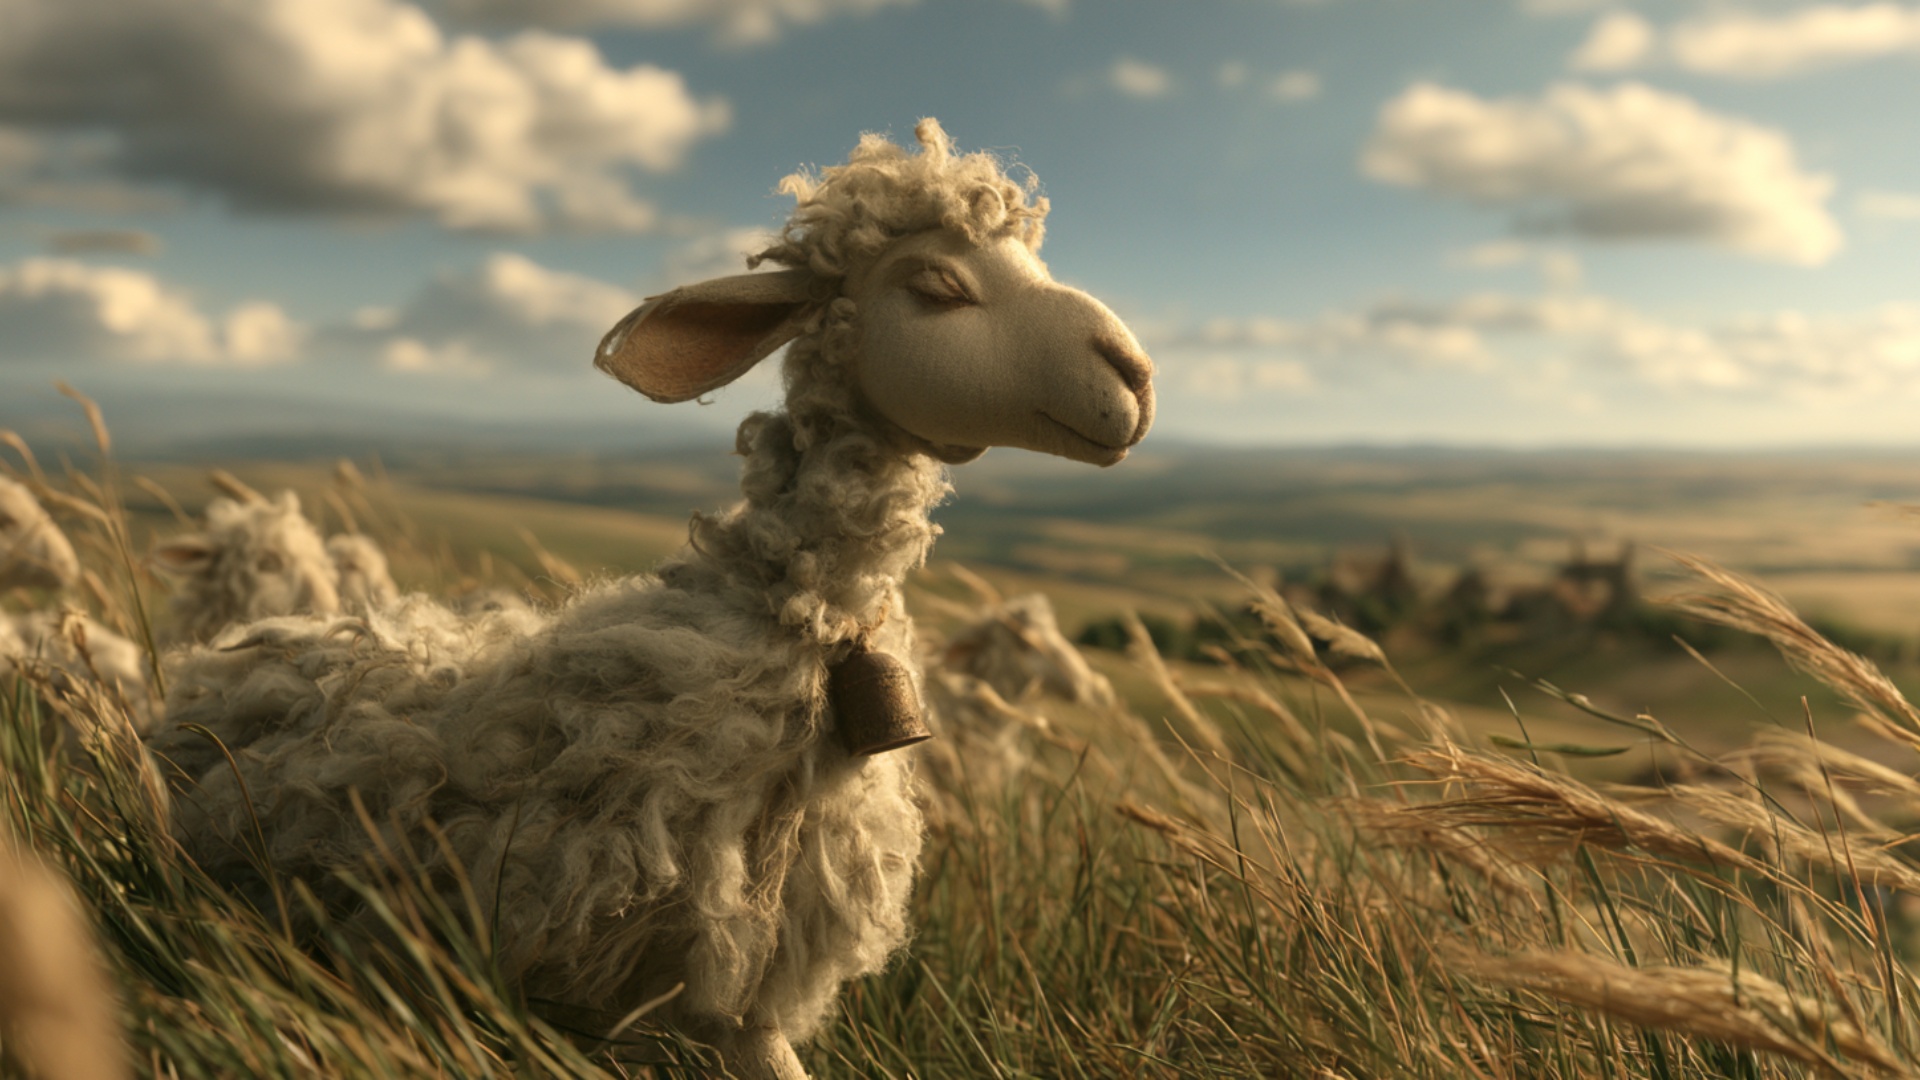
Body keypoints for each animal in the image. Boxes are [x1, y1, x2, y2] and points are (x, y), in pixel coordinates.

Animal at [146, 118, 1154, 1079]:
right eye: (938, 286)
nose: (1136, 377)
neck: (797, 624)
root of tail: (240, 646)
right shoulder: (706, 961)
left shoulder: (754, 976)